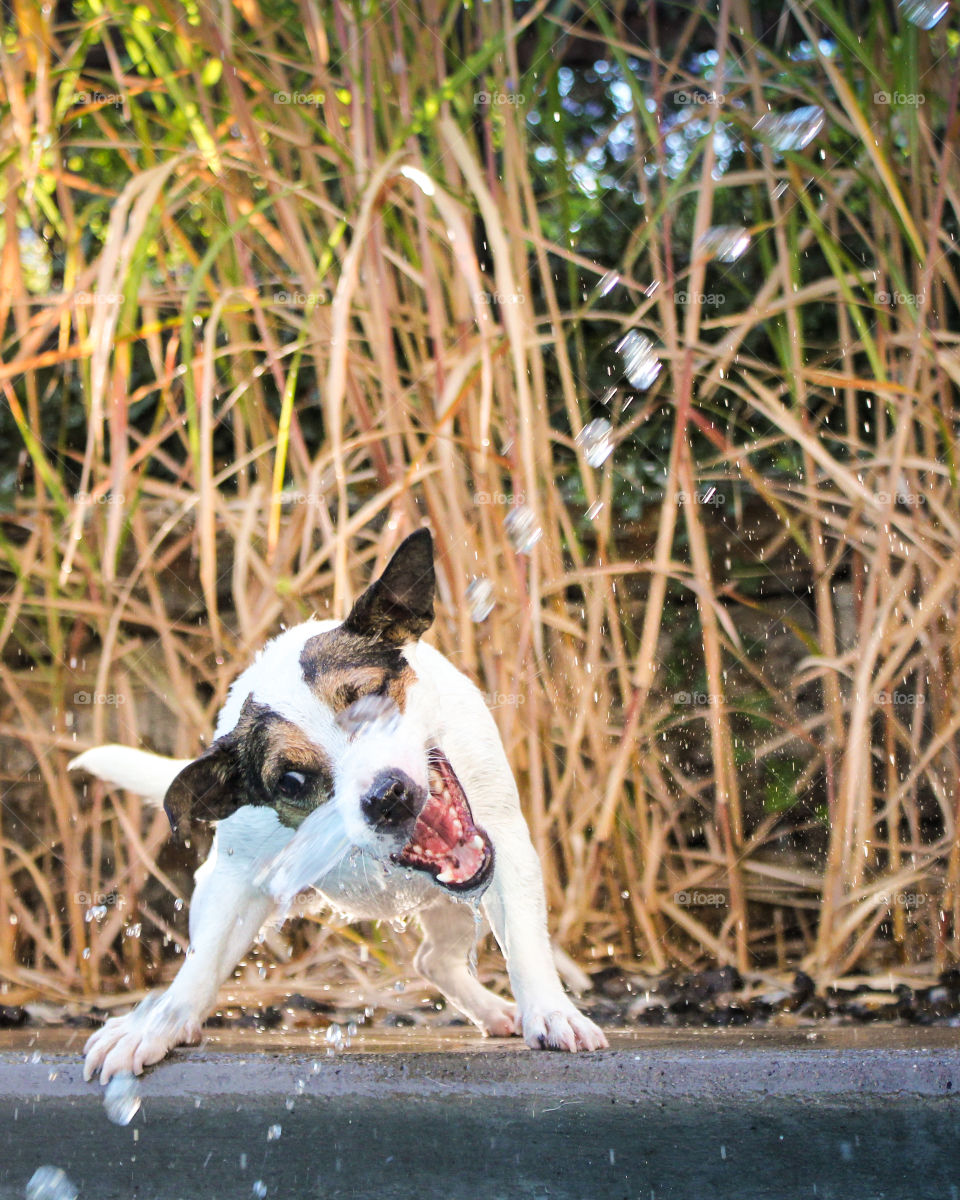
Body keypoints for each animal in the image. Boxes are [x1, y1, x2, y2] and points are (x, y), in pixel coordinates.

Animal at [71, 530, 604, 1084]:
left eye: (370, 697)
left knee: (434, 960)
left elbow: (525, 945)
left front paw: (552, 1013)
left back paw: (499, 1011)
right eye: (292, 780)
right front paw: (157, 1026)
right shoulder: (232, 884)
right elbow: (202, 962)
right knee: (431, 962)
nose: (386, 795)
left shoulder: (507, 847)